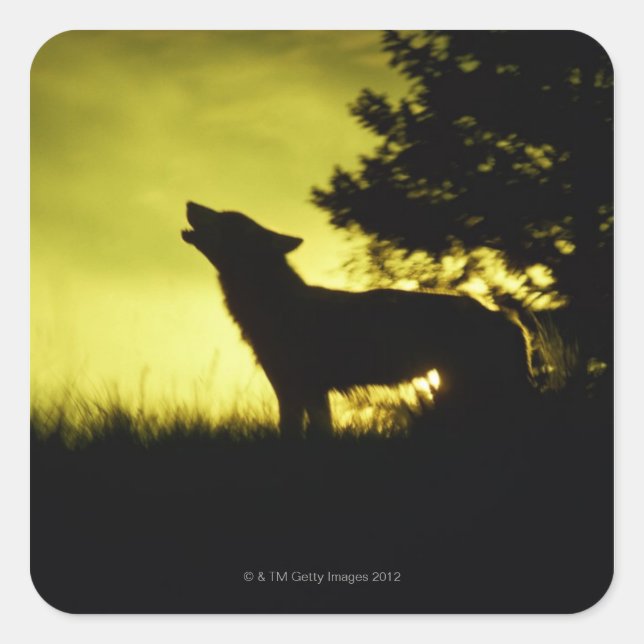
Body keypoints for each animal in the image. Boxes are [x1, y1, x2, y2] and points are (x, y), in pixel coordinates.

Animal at [182, 202, 534, 438]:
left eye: (226, 218)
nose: (189, 203)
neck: (276, 305)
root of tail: (506, 320)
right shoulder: (304, 392)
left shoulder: (300, 391)